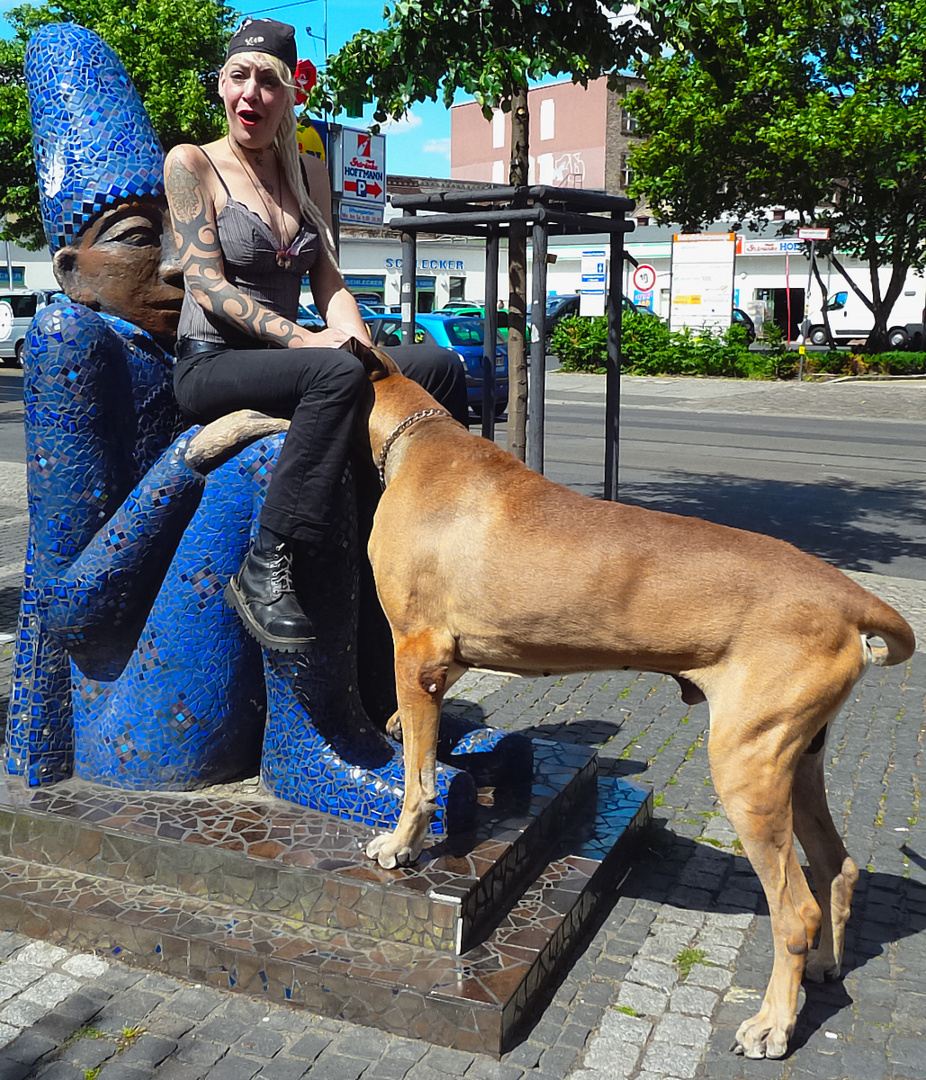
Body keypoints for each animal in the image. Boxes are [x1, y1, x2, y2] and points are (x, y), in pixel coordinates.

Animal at [358, 347, 911, 1062]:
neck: (417, 437)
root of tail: (851, 597)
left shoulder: (416, 656)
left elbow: (418, 776)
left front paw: (403, 843)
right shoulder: (439, 666)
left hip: (748, 763)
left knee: (796, 910)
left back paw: (774, 1023)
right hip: (797, 757)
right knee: (837, 868)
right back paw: (824, 965)